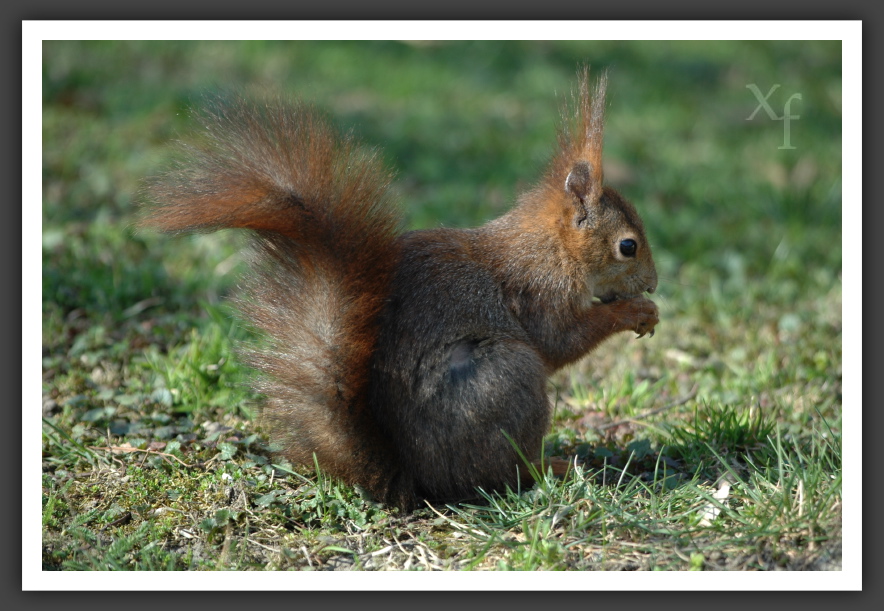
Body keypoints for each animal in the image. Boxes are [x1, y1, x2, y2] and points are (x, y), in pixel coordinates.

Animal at [143, 68, 656, 512]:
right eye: (627, 246)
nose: (653, 283)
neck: (551, 247)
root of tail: (416, 479)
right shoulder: (538, 291)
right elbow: (559, 341)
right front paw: (635, 313)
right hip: (504, 378)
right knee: (500, 475)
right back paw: (552, 467)